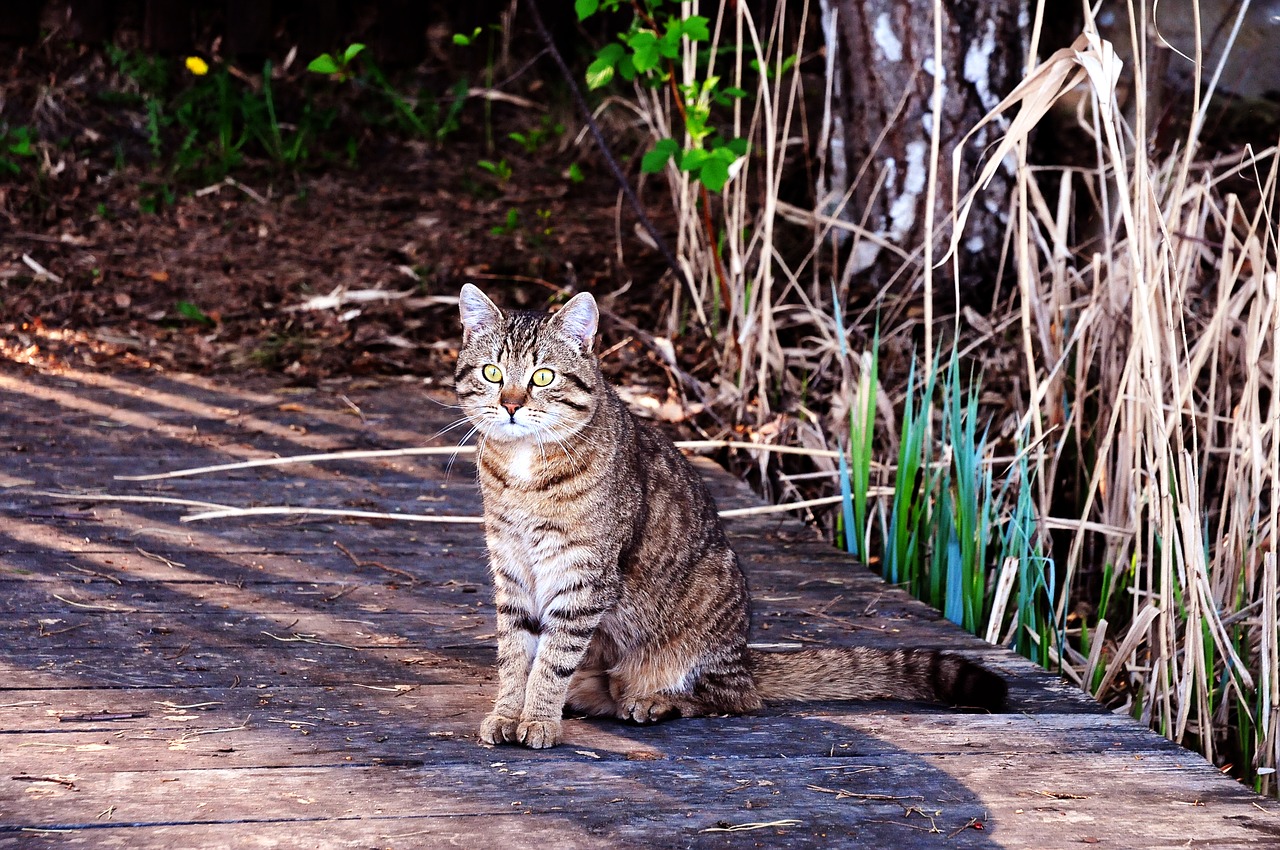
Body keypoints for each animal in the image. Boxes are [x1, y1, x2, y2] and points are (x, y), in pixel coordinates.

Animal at [455, 281, 1003, 747]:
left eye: (542, 376)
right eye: (492, 373)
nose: (510, 404)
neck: (525, 466)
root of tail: (745, 656)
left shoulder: (582, 574)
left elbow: (551, 660)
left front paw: (538, 719)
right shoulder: (512, 568)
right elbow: (515, 655)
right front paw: (508, 713)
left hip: (708, 606)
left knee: (733, 698)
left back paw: (656, 702)